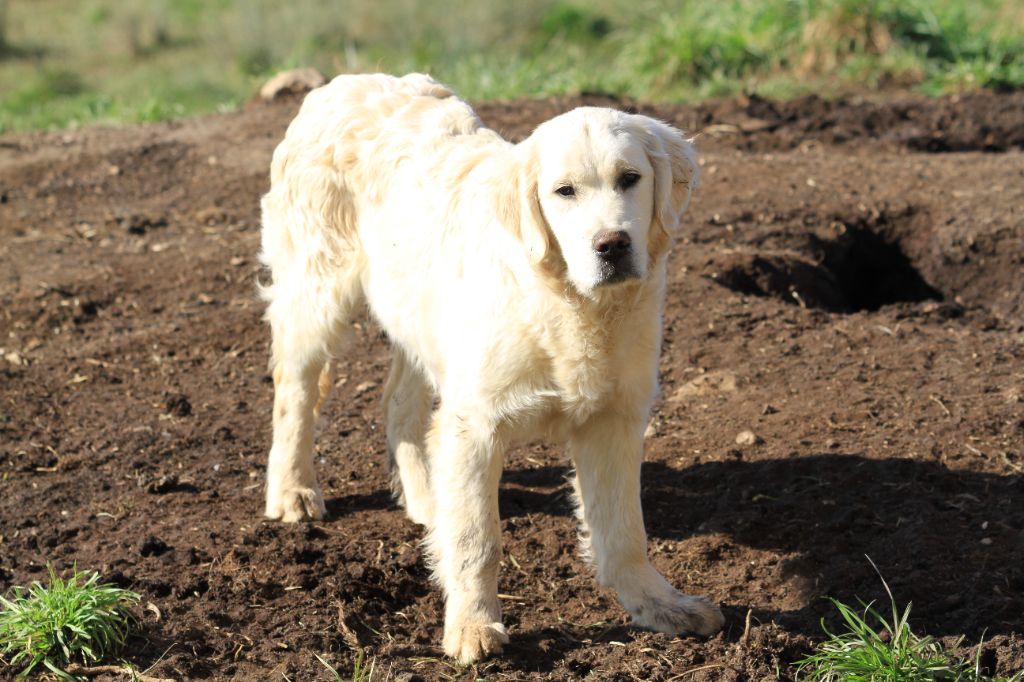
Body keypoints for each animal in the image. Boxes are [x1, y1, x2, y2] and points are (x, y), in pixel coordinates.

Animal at [262, 73, 729, 659]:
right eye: (564, 191)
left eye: (630, 179)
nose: (613, 245)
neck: (570, 304)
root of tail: (341, 83)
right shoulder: (476, 424)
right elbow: (477, 539)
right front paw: (472, 627)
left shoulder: (615, 418)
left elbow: (625, 533)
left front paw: (661, 607)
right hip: (316, 292)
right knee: (295, 393)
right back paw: (292, 491)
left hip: (417, 315)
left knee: (398, 403)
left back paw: (427, 498)